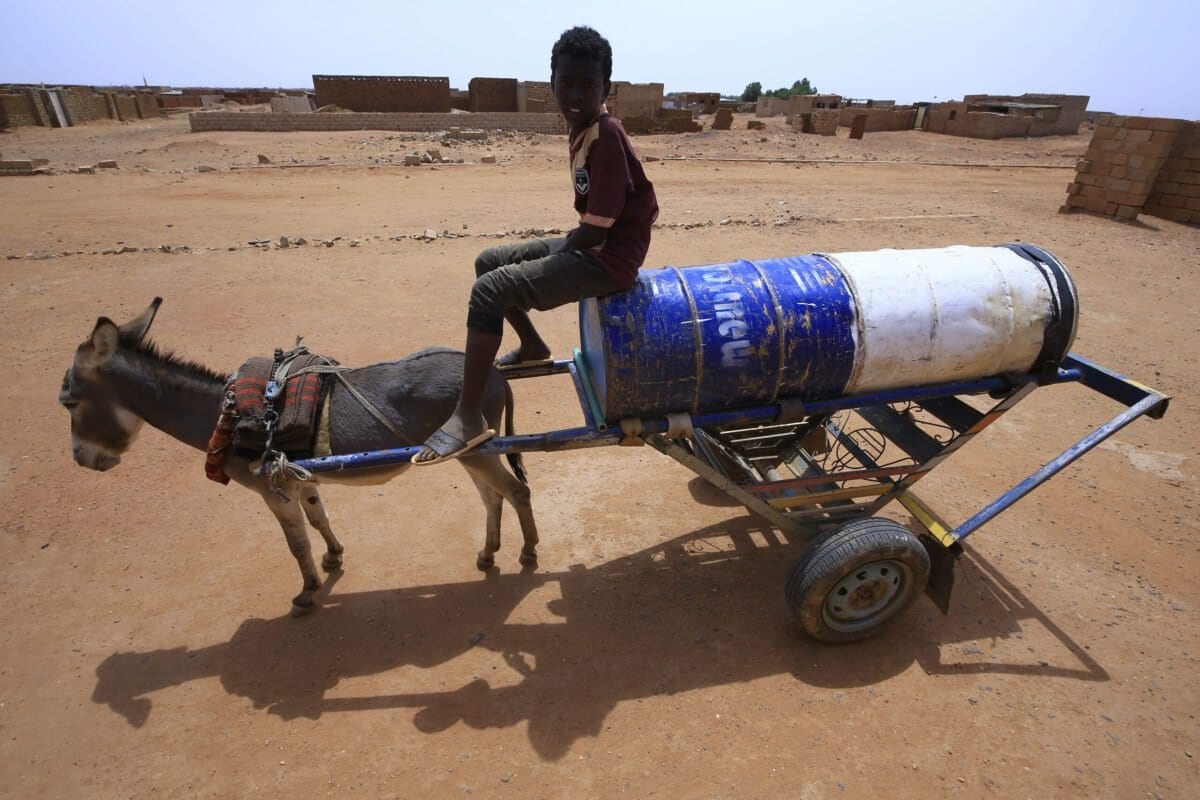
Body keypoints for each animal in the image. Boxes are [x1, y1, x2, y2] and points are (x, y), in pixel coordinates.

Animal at [59, 298, 539, 614]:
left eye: (68, 403)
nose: (83, 461)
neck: (227, 416)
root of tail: (497, 374)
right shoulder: (298, 478)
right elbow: (319, 517)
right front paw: (333, 557)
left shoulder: (275, 490)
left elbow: (295, 542)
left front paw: (308, 591)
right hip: (468, 451)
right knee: (492, 497)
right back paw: (488, 553)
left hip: (477, 452)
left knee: (516, 491)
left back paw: (529, 553)